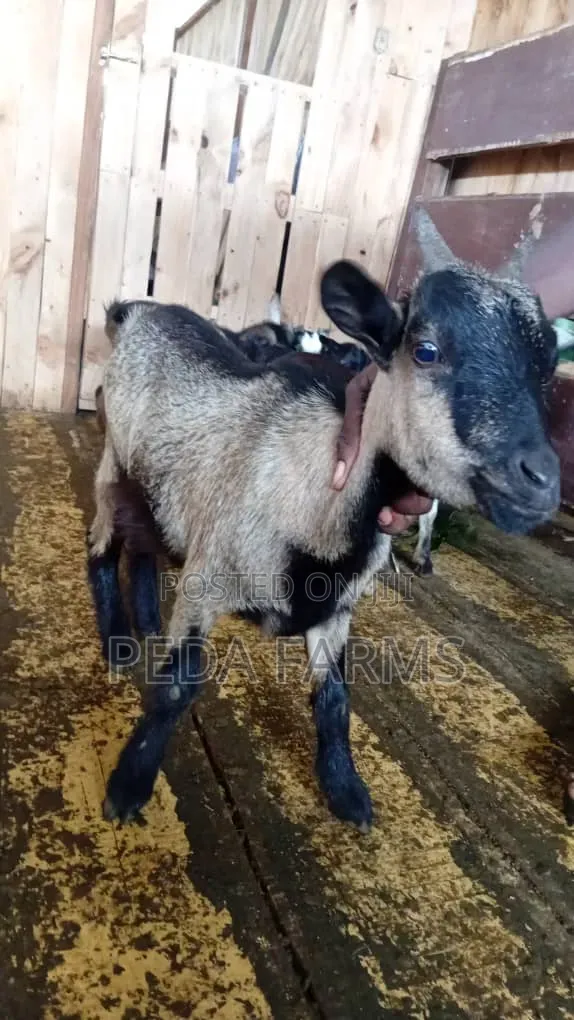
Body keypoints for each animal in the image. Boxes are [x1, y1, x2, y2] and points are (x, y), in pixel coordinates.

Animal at [87, 210, 560, 833]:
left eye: (547, 369)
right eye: (426, 350)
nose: (542, 479)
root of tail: (136, 311)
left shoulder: (336, 609)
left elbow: (335, 700)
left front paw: (347, 792)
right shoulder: (206, 580)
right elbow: (177, 687)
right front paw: (129, 786)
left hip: (159, 481)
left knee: (144, 541)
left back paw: (141, 619)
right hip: (113, 464)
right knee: (102, 547)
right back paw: (118, 641)